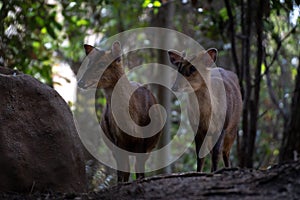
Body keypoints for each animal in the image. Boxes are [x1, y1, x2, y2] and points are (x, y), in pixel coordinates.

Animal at [77, 41, 162, 182]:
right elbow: (123, 170)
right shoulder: (116, 140)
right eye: (89, 63)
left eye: (102, 64)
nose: (80, 82)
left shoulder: (143, 141)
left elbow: (138, 167)